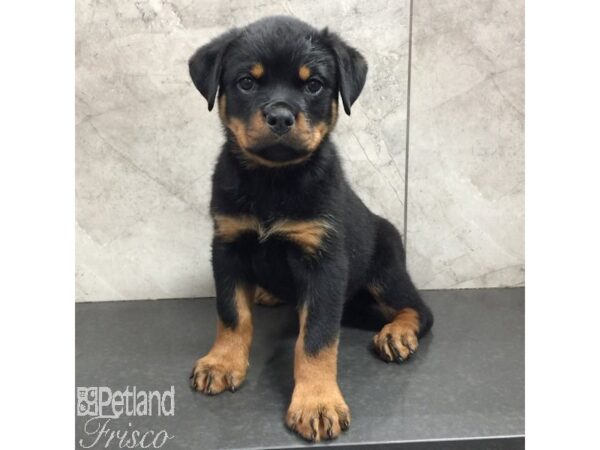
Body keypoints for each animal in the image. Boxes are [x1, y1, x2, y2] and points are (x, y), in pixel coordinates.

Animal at [188, 14, 432, 442]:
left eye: (314, 84)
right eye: (247, 82)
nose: (281, 117)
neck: (274, 179)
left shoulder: (324, 262)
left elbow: (316, 338)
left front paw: (317, 402)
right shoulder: (228, 246)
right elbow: (232, 313)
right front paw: (222, 362)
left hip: (385, 270)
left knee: (419, 309)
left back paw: (397, 333)